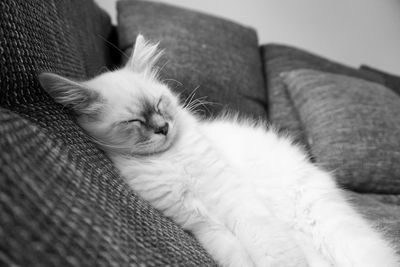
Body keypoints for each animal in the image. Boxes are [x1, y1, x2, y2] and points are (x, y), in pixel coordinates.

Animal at [38, 35, 400, 267]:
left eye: (161, 104)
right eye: (134, 121)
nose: (163, 128)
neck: (171, 160)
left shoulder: (238, 204)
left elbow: (274, 254)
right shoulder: (205, 227)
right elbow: (240, 259)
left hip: (333, 232)